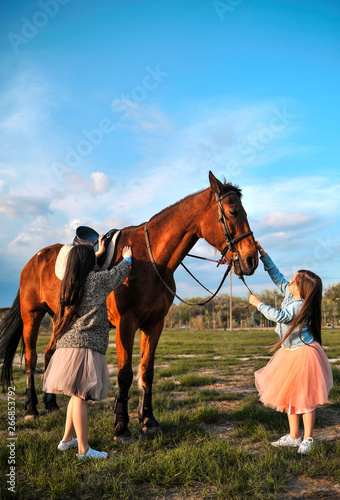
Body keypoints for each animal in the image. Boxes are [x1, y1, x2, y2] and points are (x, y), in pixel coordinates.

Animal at [0, 173, 256, 442]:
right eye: (233, 211)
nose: (252, 259)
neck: (152, 261)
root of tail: (33, 260)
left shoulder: (154, 324)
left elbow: (147, 371)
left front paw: (148, 420)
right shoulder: (126, 324)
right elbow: (124, 374)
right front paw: (121, 426)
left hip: (59, 317)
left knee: (50, 353)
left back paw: (51, 403)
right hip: (32, 316)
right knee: (31, 359)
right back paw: (32, 408)